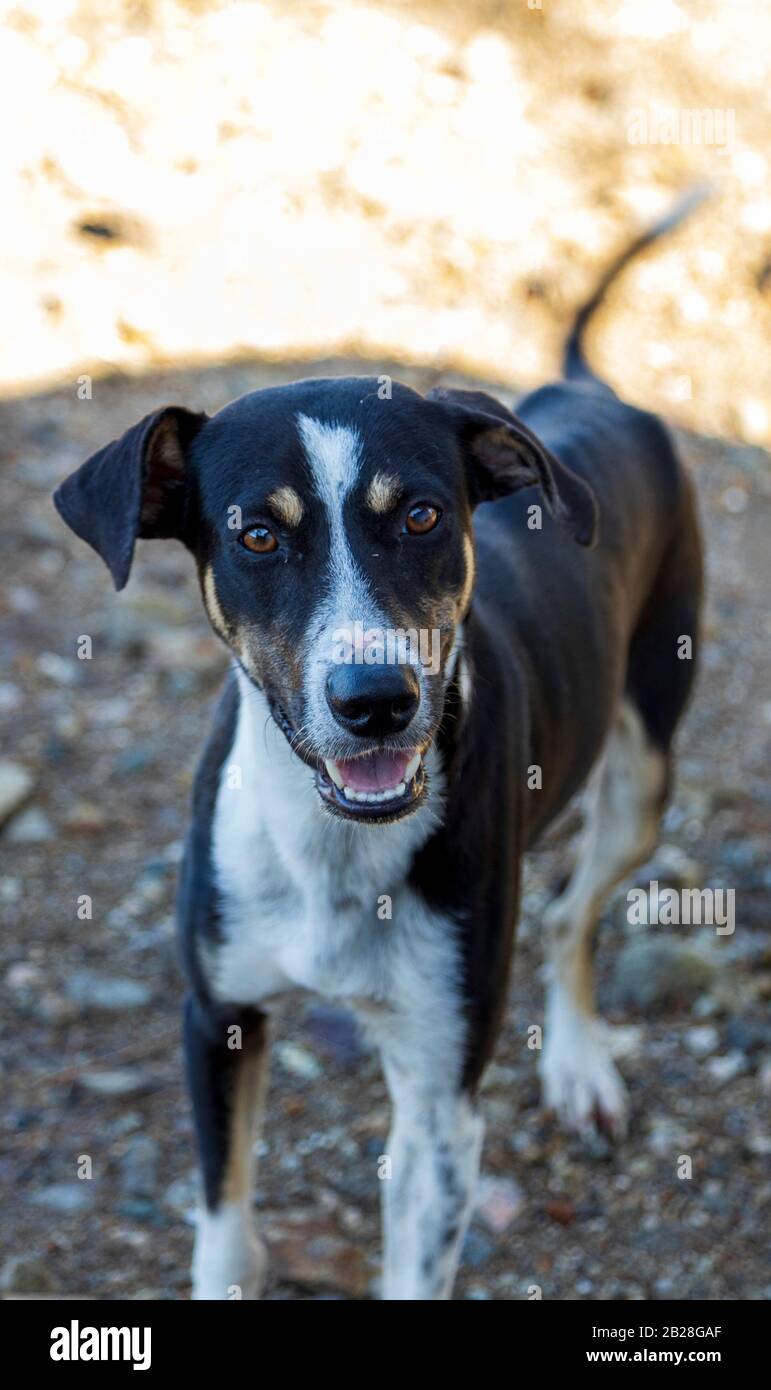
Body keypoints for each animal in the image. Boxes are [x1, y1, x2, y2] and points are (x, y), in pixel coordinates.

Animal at [54, 195, 705, 1301]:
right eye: (257, 536)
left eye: (423, 515)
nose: (375, 703)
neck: (334, 848)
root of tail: (591, 393)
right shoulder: (214, 1016)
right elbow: (222, 1225)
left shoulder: (441, 1104)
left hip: (645, 768)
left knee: (572, 910)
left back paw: (578, 1062)